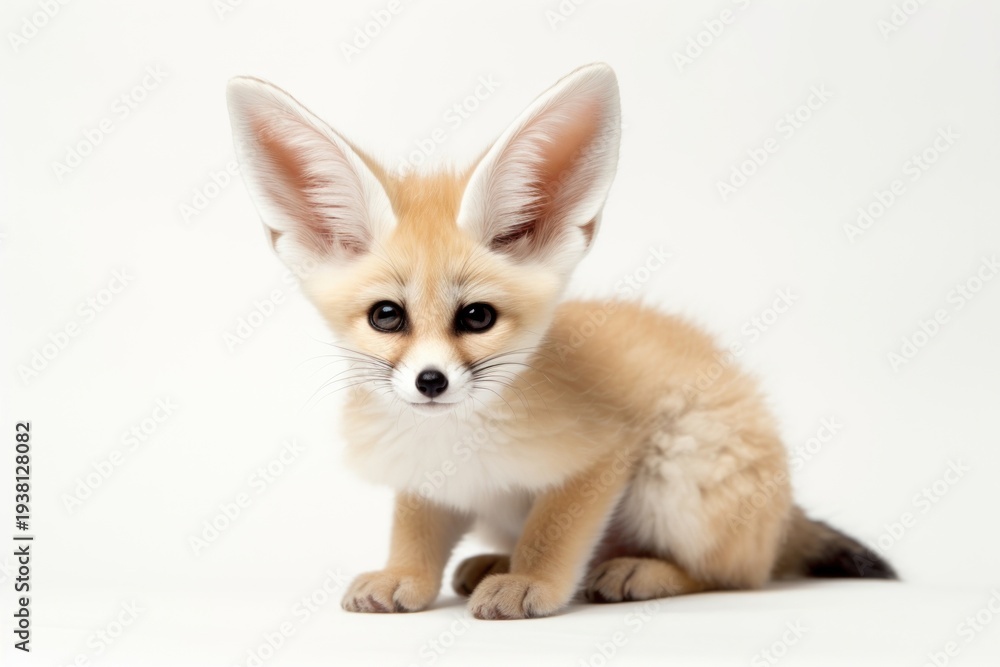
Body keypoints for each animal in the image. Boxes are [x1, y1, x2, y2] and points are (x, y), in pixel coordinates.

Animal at [225, 63, 896, 620]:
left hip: (682, 472)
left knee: (737, 575)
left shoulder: (601, 456)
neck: (459, 441)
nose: (430, 381)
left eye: (477, 317)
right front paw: (405, 576)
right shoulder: (428, 477)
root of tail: (783, 514)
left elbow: (553, 533)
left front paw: (535, 583)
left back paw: (638, 571)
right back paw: (495, 562)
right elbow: (414, 531)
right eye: (387, 316)